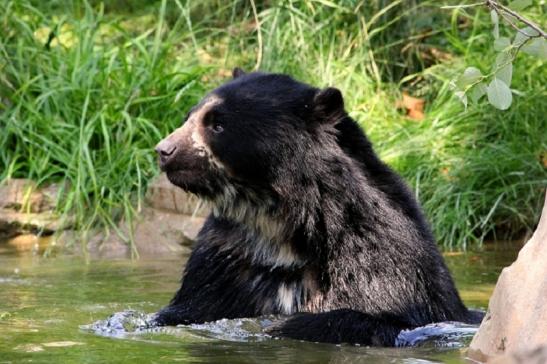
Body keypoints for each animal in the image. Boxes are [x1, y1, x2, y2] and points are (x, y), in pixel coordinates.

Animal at [152, 69, 482, 346]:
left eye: (217, 125)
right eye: (189, 116)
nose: (164, 150)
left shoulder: (376, 252)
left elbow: (380, 312)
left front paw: (281, 326)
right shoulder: (227, 257)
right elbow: (193, 305)